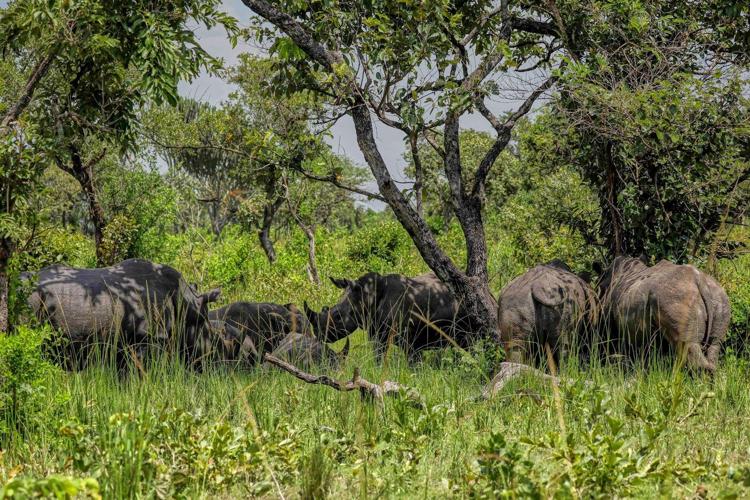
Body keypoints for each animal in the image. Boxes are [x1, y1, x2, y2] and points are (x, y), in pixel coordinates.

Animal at [304, 272, 478, 363]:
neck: (367, 296)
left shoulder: (410, 339)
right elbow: (378, 356)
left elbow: (412, 362)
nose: (318, 335)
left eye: (337, 316)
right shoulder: (377, 333)